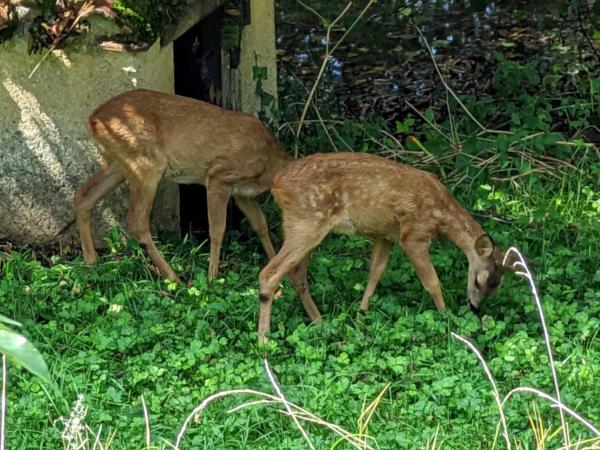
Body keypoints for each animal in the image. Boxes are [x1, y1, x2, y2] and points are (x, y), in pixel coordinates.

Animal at [75, 89, 290, 282]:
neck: (269, 165)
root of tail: (93, 120)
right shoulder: (218, 176)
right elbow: (217, 230)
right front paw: (212, 278)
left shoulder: (242, 194)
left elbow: (261, 223)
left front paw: (276, 266)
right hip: (146, 162)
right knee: (136, 220)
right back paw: (174, 278)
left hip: (118, 163)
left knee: (83, 196)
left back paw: (91, 261)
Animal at [256, 153, 516, 342]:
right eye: (479, 281)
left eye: (497, 284)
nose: (475, 307)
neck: (441, 215)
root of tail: (277, 186)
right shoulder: (412, 235)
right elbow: (432, 282)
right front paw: (446, 321)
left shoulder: (386, 235)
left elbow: (375, 273)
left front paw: (360, 320)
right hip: (307, 223)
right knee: (269, 274)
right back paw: (264, 342)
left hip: (304, 227)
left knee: (296, 275)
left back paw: (321, 324)